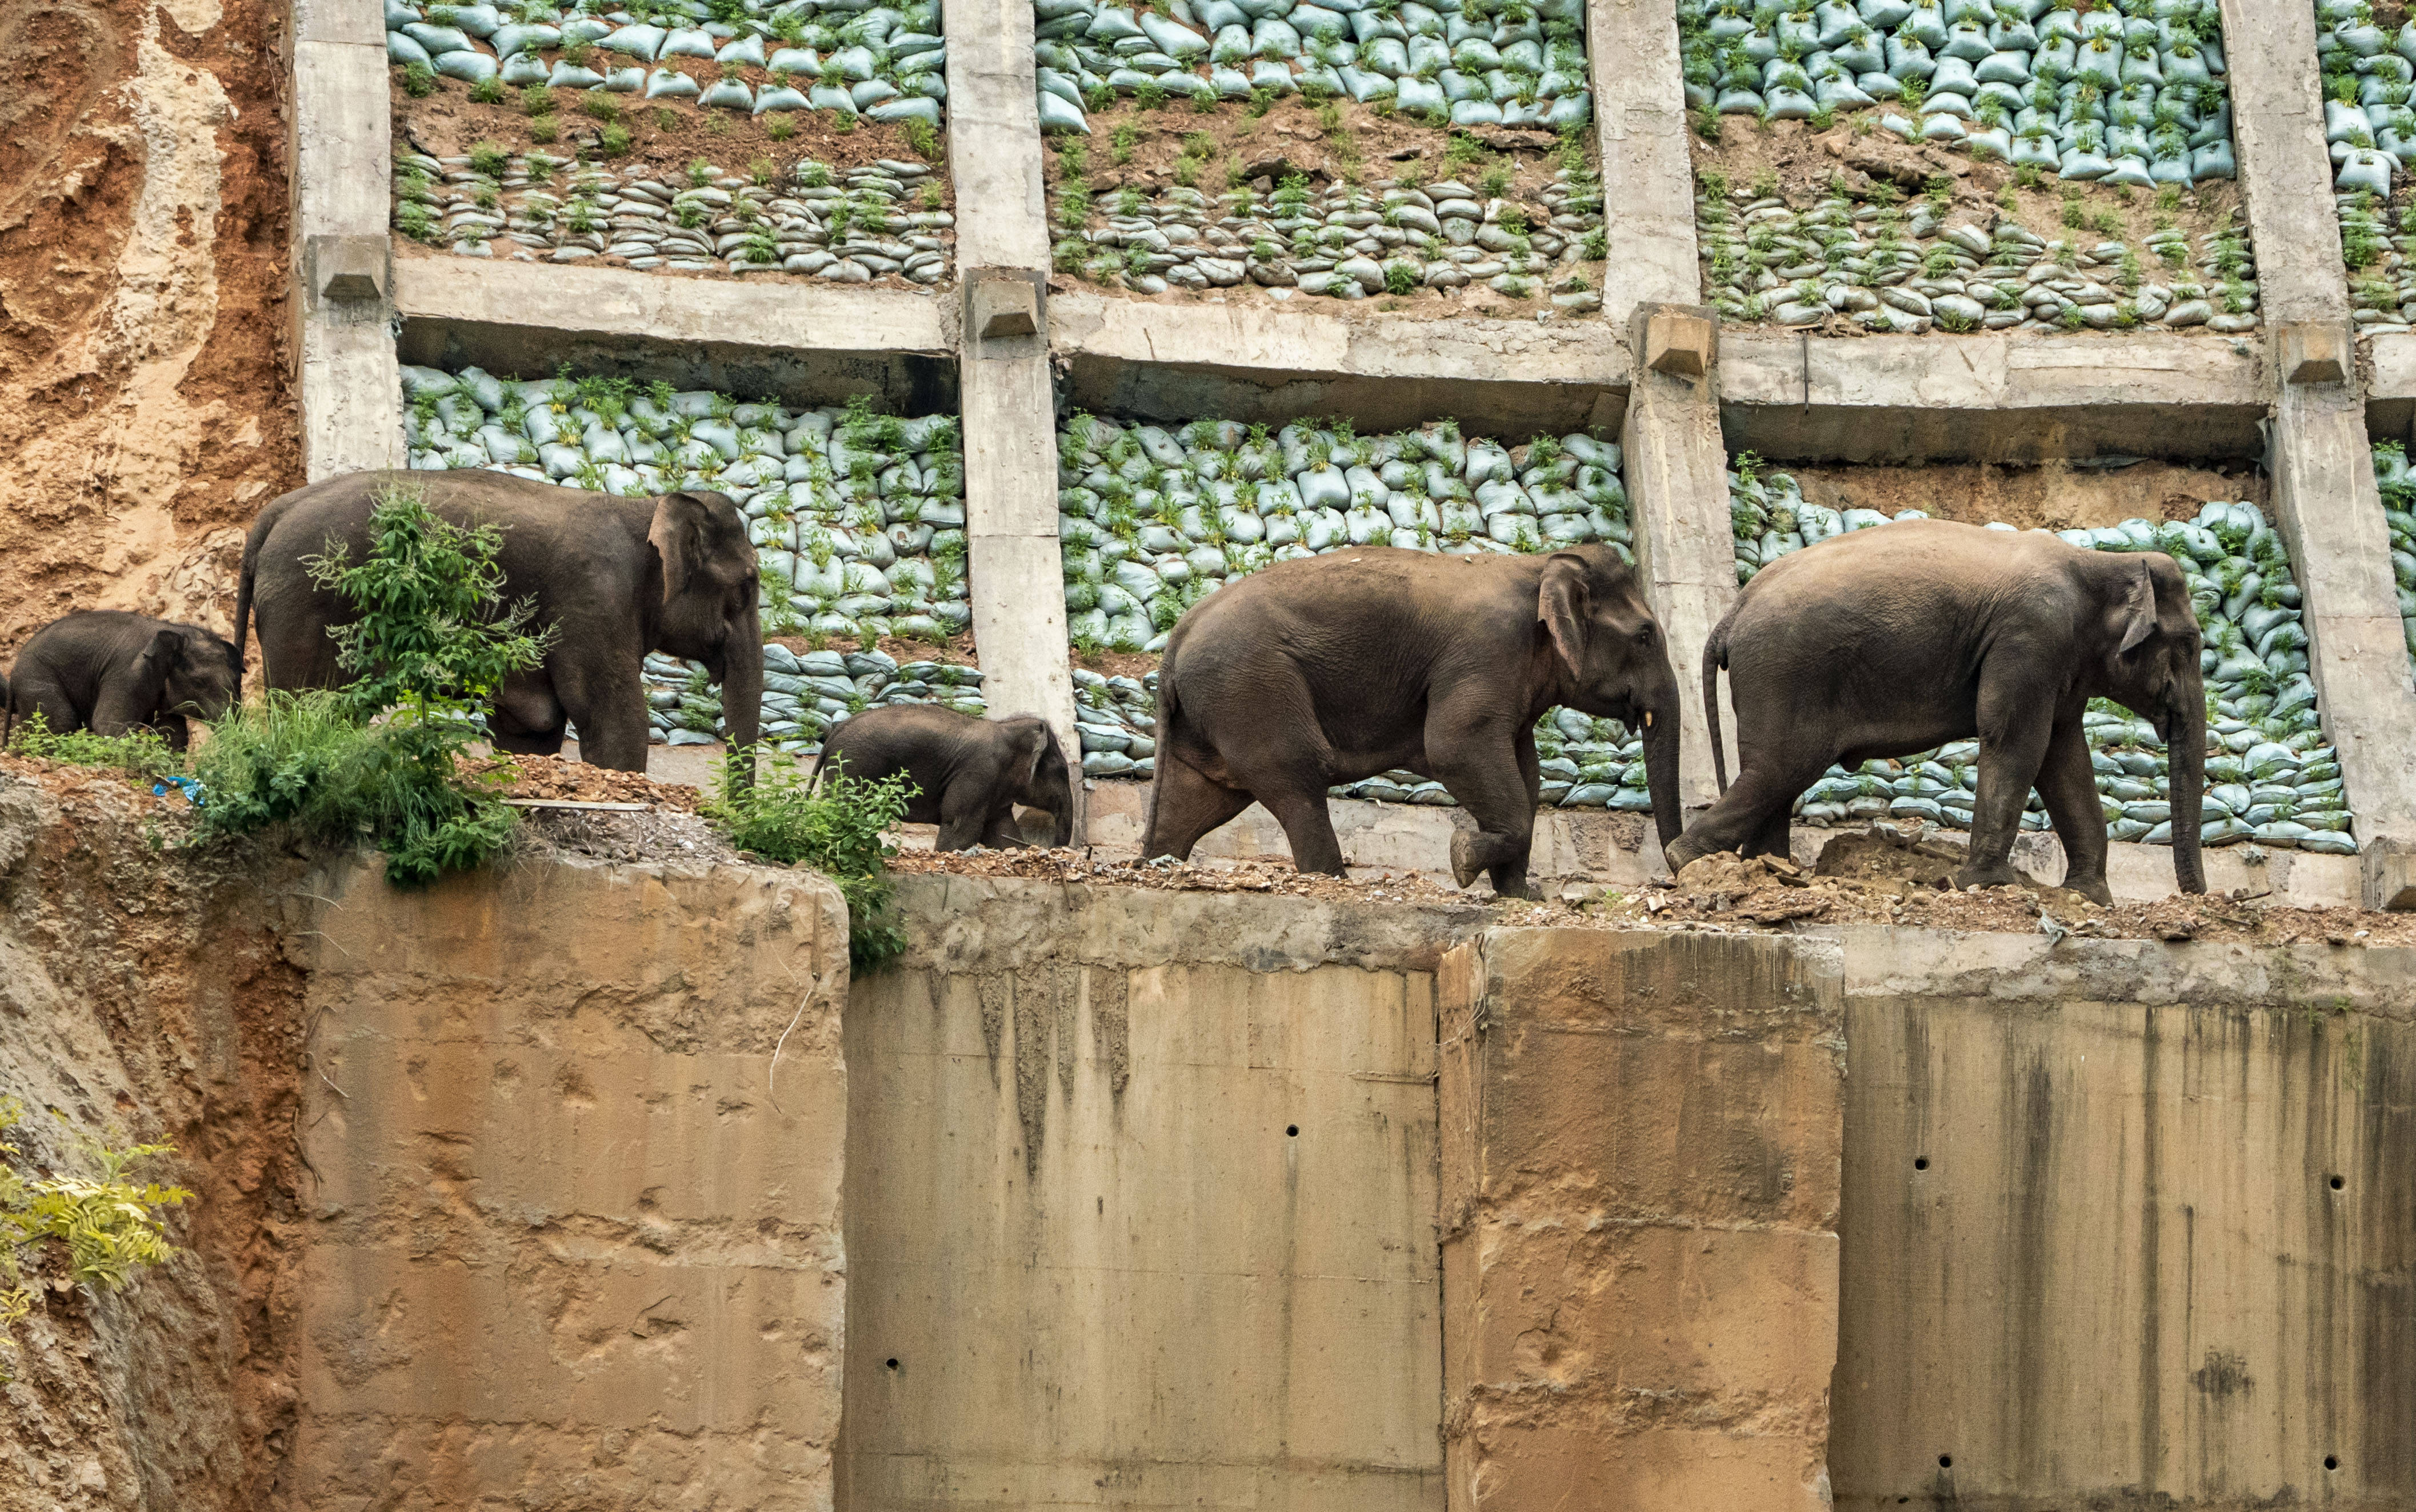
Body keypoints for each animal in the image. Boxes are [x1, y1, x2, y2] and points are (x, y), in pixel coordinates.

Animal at [6, 606, 242, 749]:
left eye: (235, 681)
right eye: (199, 682)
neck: (176, 631)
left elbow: (173, 734)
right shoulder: (127, 674)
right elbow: (108, 724)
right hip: (36, 677)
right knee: (60, 722)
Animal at [235, 469, 763, 763]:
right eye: (749, 584)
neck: (647, 507)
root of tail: (273, 513)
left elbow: (535, 729)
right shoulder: (594, 597)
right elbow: (614, 723)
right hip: (306, 606)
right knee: (310, 705)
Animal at [817, 705, 1073, 850]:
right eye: (1062, 771)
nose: (1054, 846)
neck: (1008, 729)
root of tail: (833, 736)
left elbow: (1001, 832)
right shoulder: (979, 772)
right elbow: (961, 827)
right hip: (855, 765)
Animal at [1145, 541, 1681, 893]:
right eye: (1645, 635)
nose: (1674, 870)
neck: (1539, 565)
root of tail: (1175, 643)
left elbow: (1525, 776)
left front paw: (1518, 896)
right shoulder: (1487, 650)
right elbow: (1455, 747)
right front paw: (1463, 859)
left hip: (1215, 706)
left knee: (1194, 799)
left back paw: (1158, 864)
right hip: (1250, 686)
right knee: (1297, 776)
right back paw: (1336, 881)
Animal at [1662, 517, 2213, 898]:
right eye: (2189, 644)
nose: (2196, 896)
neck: (2102, 562)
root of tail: (1730, 614)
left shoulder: (2060, 662)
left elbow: (2063, 757)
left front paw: (2091, 898)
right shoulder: (2032, 638)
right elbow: (2017, 741)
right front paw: (1988, 885)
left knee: (1774, 777)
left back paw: (1769, 870)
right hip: (1783, 673)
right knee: (1780, 768)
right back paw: (1688, 862)